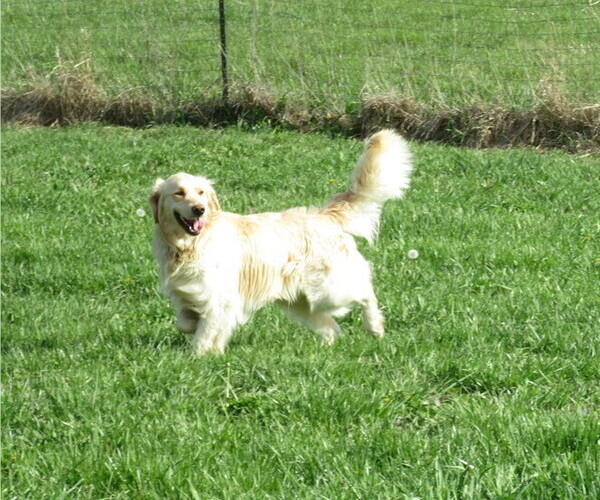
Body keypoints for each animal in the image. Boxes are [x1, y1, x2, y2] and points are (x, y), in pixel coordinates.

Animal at [150, 130, 412, 356]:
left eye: (201, 192)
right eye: (179, 193)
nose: (199, 210)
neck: (188, 246)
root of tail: (324, 215)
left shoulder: (219, 298)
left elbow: (204, 333)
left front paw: (198, 356)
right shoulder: (187, 295)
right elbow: (185, 322)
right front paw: (206, 341)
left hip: (331, 289)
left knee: (366, 292)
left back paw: (375, 326)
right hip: (300, 300)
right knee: (330, 326)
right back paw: (325, 348)